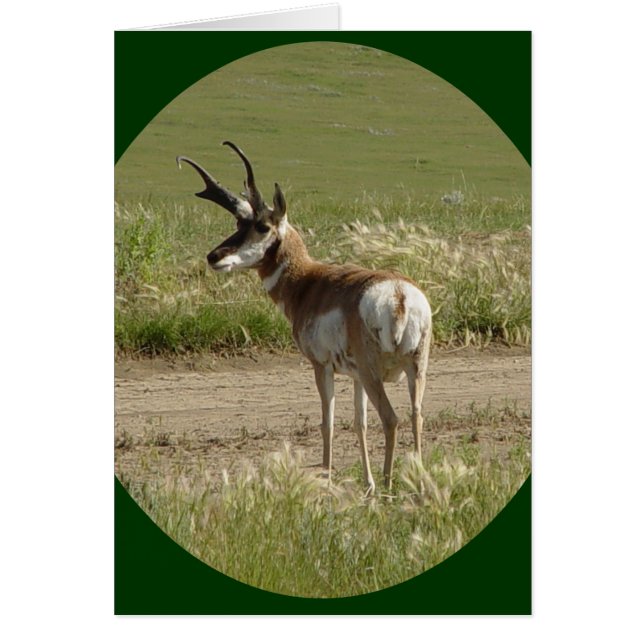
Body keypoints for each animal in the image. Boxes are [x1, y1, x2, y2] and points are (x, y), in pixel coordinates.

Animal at [177, 141, 431, 494]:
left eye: (261, 226)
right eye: (239, 225)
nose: (214, 256)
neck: (309, 281)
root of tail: (398, 294)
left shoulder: (321, 366)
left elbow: (328, 423)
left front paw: (326, 478)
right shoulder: (354, 377)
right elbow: (359, 423)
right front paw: (365, 484)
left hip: (375, 373)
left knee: (391, 419)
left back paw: (388, 484)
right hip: (414, 369)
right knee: (416, 415)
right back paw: (417, 484)